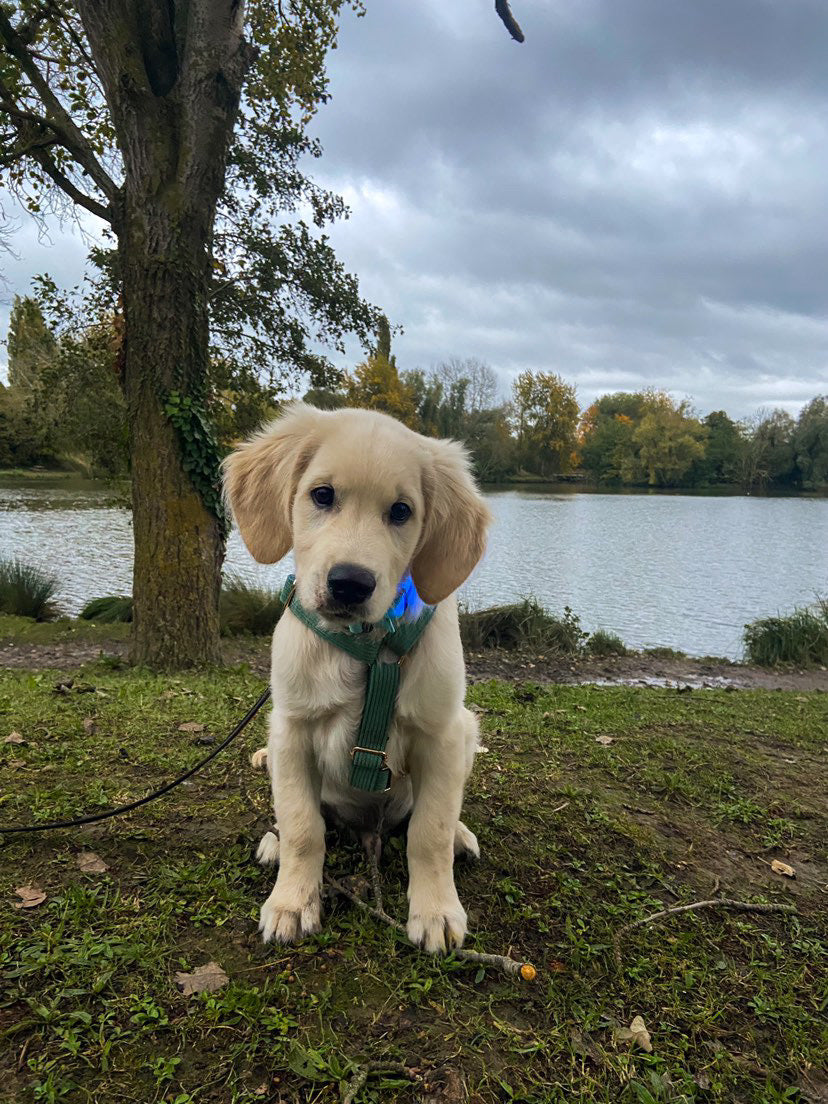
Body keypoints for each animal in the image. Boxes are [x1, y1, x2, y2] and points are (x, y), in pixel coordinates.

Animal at [221, 401, 492, 953]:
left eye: (401, 511)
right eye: (322, 495)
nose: (349, 583)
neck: (370, 645)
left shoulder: (442, 733)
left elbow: (429, 831)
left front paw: (436, 910)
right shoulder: (291, 729)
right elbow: (303, 826)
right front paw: (292, 902)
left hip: (467, 730)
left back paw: (460, 835)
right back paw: (274, 843)